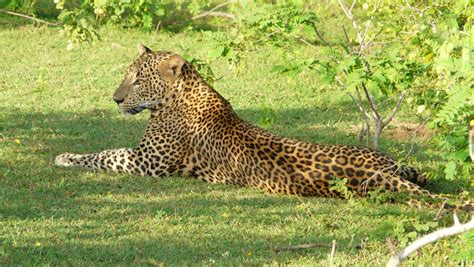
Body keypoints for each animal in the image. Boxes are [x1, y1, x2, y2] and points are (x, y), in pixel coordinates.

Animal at [54, 44, 470, 211]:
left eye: (138, 80)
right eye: (127, 75)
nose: (115, 99)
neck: (181, 94)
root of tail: (386, 167)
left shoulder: (147, 163)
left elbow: (103, 155)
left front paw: (63, 156)